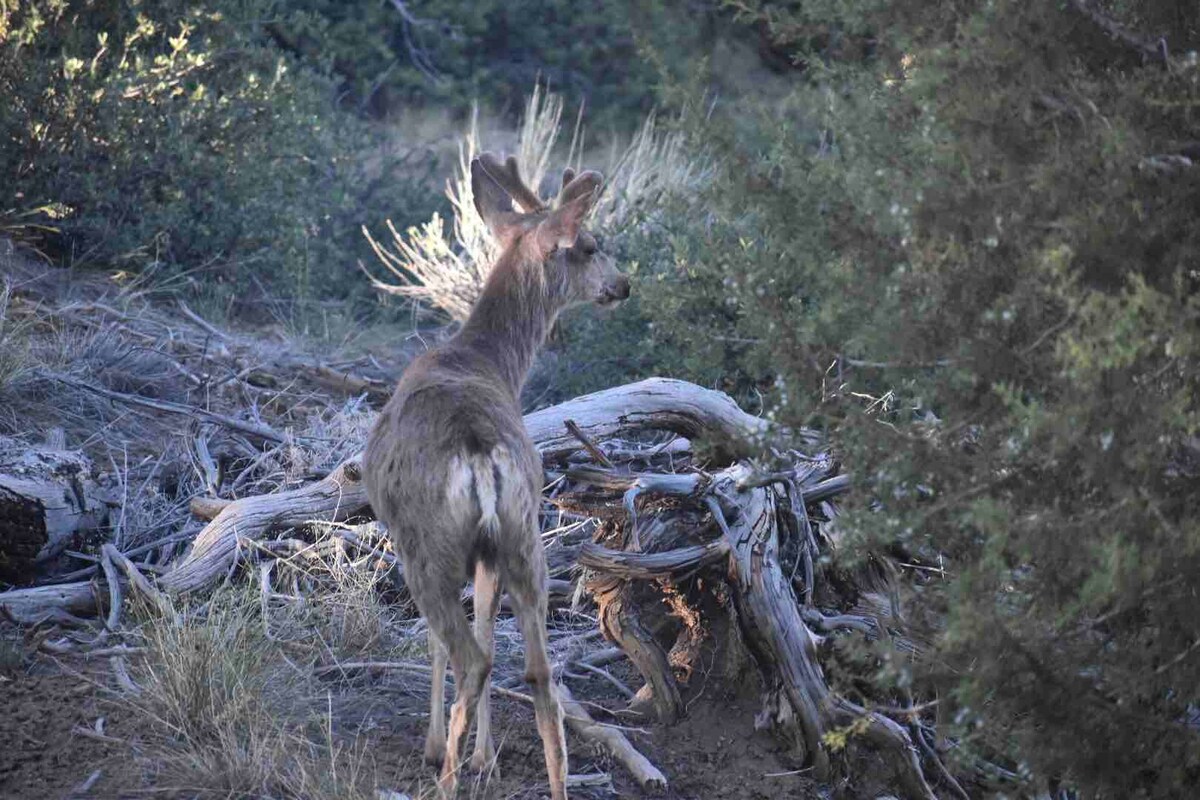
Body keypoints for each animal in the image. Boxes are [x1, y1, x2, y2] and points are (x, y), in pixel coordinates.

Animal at [362, 151, 628, 800]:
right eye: (591, 246)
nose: (623, 285)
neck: (483, 358)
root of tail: (480, 454)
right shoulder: (490, 550)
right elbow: (487, 621)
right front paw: (487, 757)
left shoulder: (413, 538)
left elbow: (441, 642)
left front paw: (442, 748)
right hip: (524, 535)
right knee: (538, 671)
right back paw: (552, 782)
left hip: (431, 542)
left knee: (470, 657)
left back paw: (447, 775)